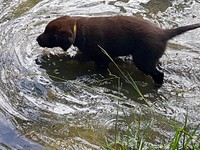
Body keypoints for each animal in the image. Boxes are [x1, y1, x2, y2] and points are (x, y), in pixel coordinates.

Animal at [36, 15, 200, 86]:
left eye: (49, 35)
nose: (37, 39)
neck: (79, 29)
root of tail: (163, 33)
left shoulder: (96, 56)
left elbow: (73, 59)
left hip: (143, 59)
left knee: (159, 74)